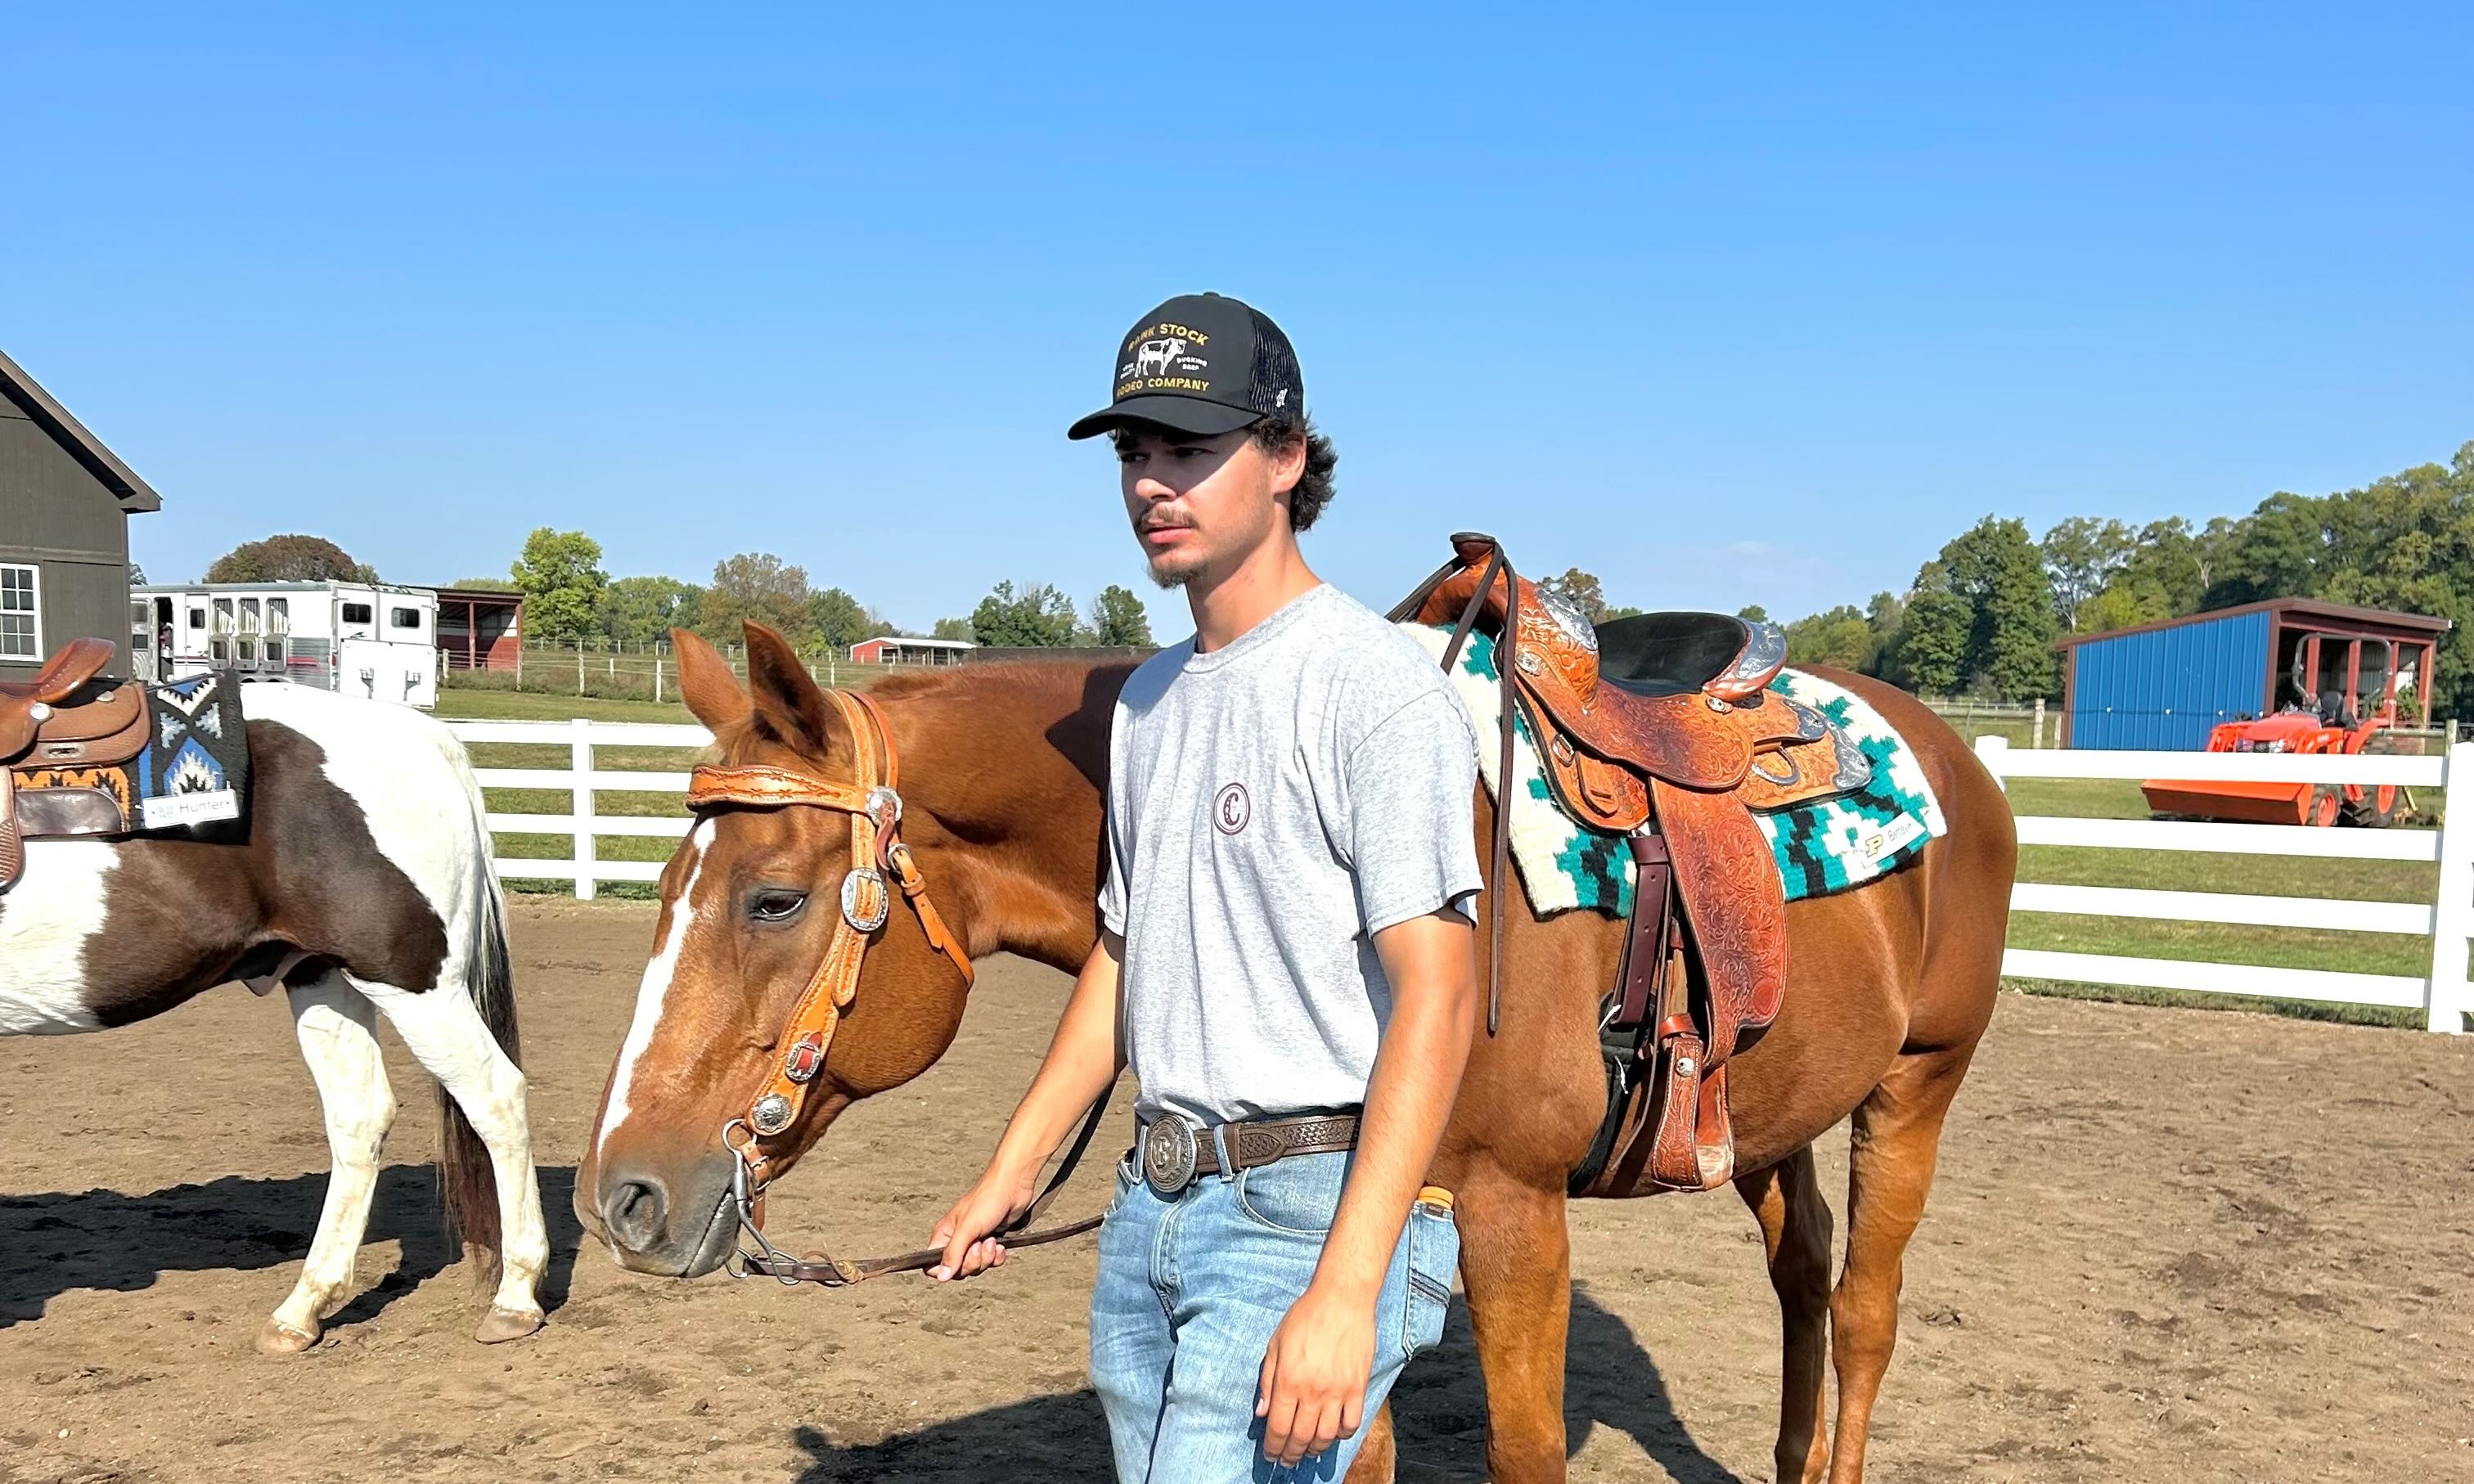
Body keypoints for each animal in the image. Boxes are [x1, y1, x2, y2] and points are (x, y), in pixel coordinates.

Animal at [0, 679, 548, 1352]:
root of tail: (419, 732)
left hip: (416, 985)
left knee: (495, 1096)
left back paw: (516, 1296)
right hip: (323, 978)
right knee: (360, 1118)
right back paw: (303, 1308)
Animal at [578, 621, 2012, 1484]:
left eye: (773, 898)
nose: (620, 1197)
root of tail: (1954, 750)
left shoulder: (1514, 1213)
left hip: (1917, 1086)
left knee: (1865, 1311)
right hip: (1765, 1116)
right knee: (1804, 1275)